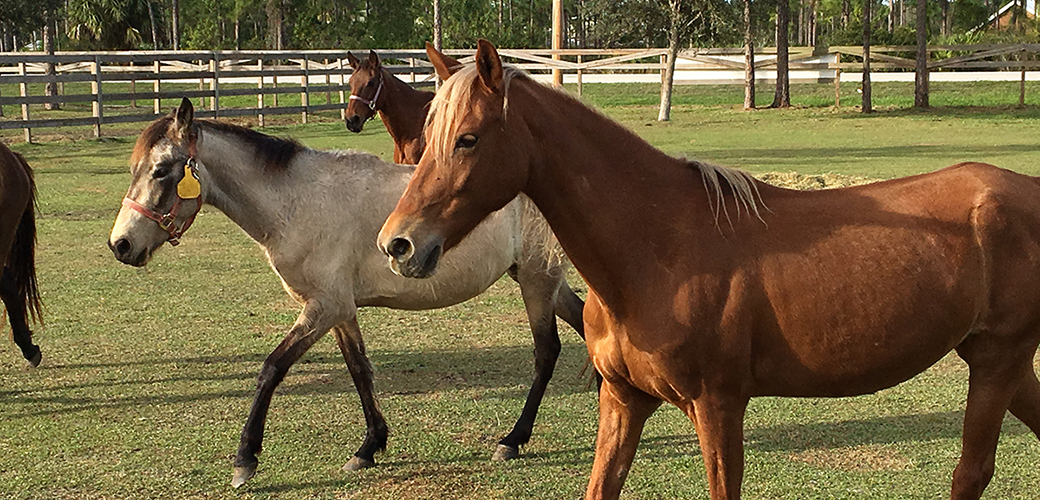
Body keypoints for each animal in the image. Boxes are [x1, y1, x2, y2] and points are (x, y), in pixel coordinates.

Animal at [109, 98, 590, 486]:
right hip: (543, 280)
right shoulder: (340, 309)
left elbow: (271, 368)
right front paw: (370, 447)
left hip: (537, 279)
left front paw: (246, 459)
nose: (121, 245)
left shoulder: (324, 307)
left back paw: (513, 439)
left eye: (160, 171)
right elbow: (360, 370)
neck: (296, 202)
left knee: (546, 352)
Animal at [382, 38, 1040, 498]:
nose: (399, 245)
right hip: (1000, 363)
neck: (657, 250)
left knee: (970, 473)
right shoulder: (623, 401)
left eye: (468, 138)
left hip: (997, 360)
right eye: (427, 136)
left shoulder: (718, 407)